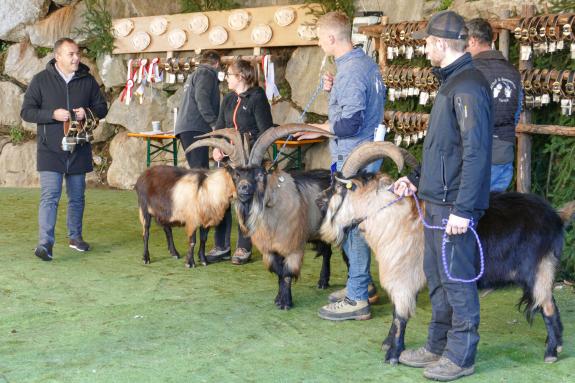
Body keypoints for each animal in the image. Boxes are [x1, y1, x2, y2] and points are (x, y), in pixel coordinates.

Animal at [320, 142, 575, 364]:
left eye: (339, 188)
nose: (319, 200)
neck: (394, 217)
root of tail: (556, 217)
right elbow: (396, 312)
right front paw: (388, 344)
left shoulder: (403, 278)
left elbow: (400, 315)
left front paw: (393, 354)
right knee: (549, 303)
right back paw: (555, 344)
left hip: (538, 270)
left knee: (547, 306)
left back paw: (551, 353)